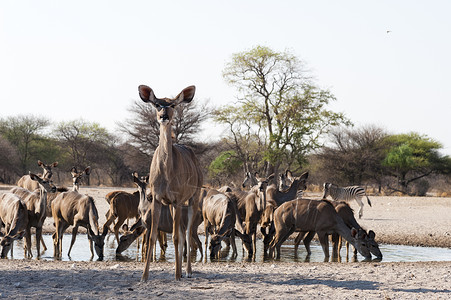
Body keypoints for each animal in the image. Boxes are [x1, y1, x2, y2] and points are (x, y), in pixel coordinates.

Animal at [138, 85, 203, 282]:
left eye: (173, 104)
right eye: (157, 104)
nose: (163, 116)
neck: (167, 172)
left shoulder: (177, 200)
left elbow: (175, 237)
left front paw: (177, 275)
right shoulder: (158, 199)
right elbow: (152, 237)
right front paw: (144, 276)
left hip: (192, 199)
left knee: (187, 234)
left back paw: (186, 271)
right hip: (175, 206)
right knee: (182, 234)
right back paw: (181, 270)